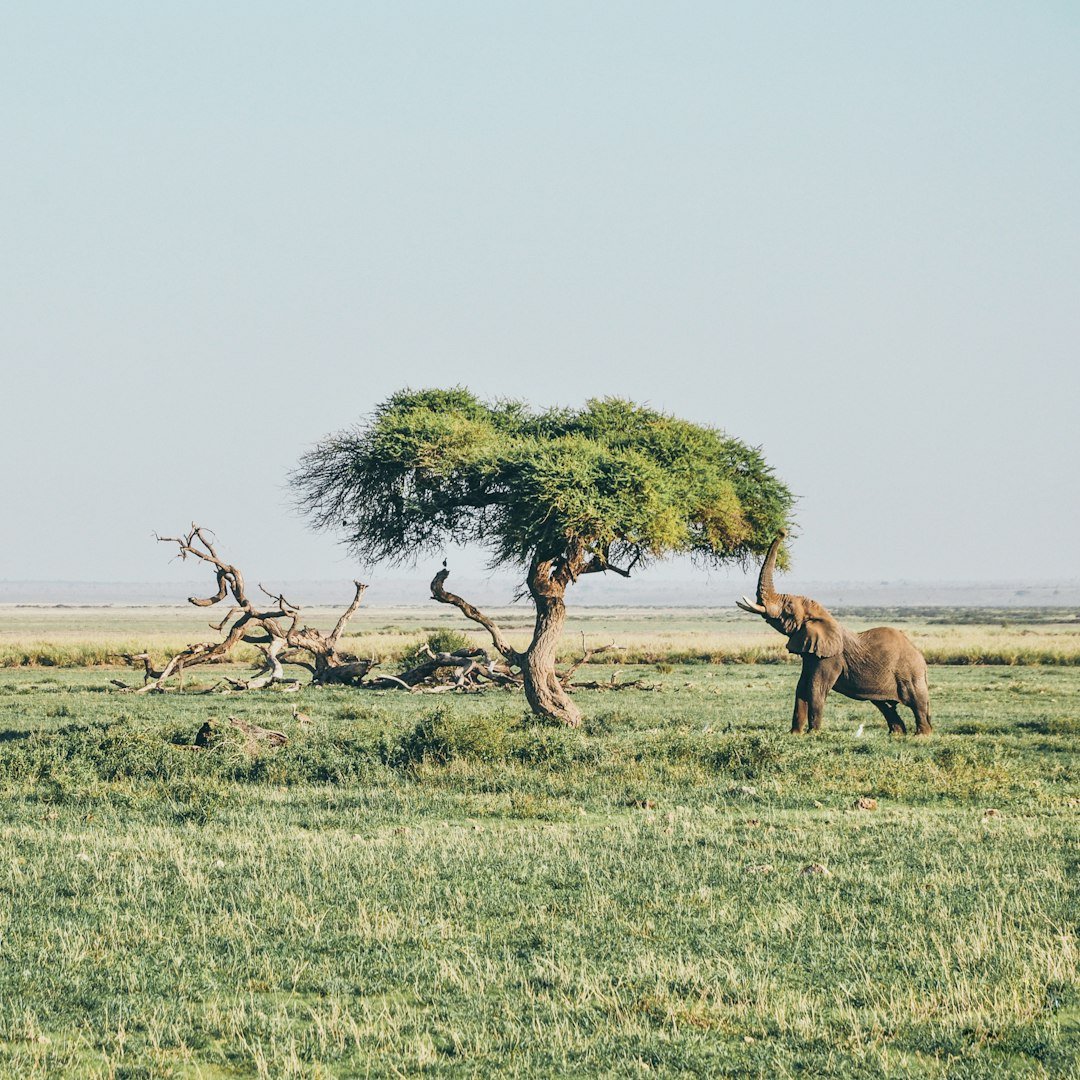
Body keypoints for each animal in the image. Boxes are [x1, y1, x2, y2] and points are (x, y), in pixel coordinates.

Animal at [736, 532, 932, 735]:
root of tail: (921, 658)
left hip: (910, 673)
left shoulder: (830, 658)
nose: (782, 532)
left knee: (917, 703)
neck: (823, 616)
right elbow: (801, 687)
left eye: (788, 608)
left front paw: (813, 734)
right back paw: (897, 735)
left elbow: (815, 688)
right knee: (884, 705)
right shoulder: (811, 653)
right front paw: (795, 734)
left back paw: (921, 736)